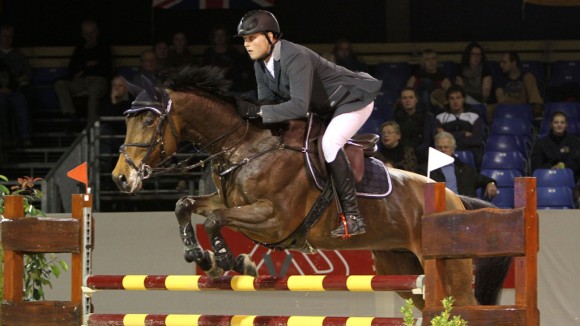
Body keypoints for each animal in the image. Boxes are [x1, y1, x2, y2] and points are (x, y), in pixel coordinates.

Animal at [111, 66, 510, 308]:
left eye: (150, 121)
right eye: (127, 120)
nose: (120, 177)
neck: (247, 147)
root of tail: (454, 198)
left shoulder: (275, 220)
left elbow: (214, 221)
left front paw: (227, 260)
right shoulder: (227, 202)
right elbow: (186, 205)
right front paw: (202, 257)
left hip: (448, 270)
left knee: (465, 306)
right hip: (401, 269)